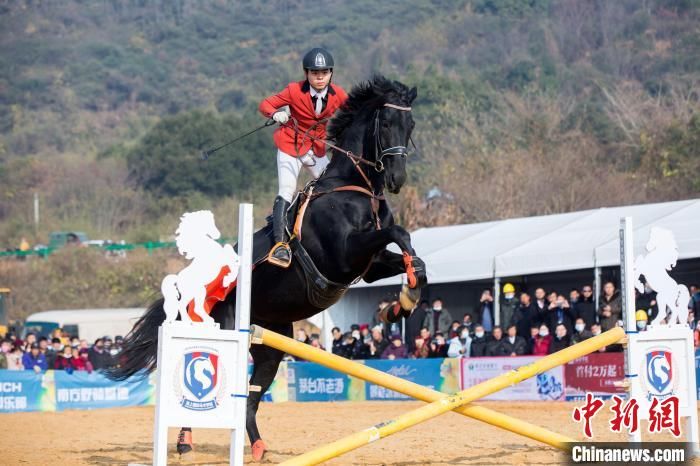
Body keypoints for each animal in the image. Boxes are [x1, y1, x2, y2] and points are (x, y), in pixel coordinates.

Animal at [108, 74, 426, 460]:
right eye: (388, 123)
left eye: (410, 124)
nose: (396, 180)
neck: (354, 187)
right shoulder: (344, 256)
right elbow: (400, 232)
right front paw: (403, 299)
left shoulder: (369, 266)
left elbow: (413, 258)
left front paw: (402, 302)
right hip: (224, 332)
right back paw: (185, 442)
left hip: (272, 344)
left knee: (249, 399)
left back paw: (259, 448)